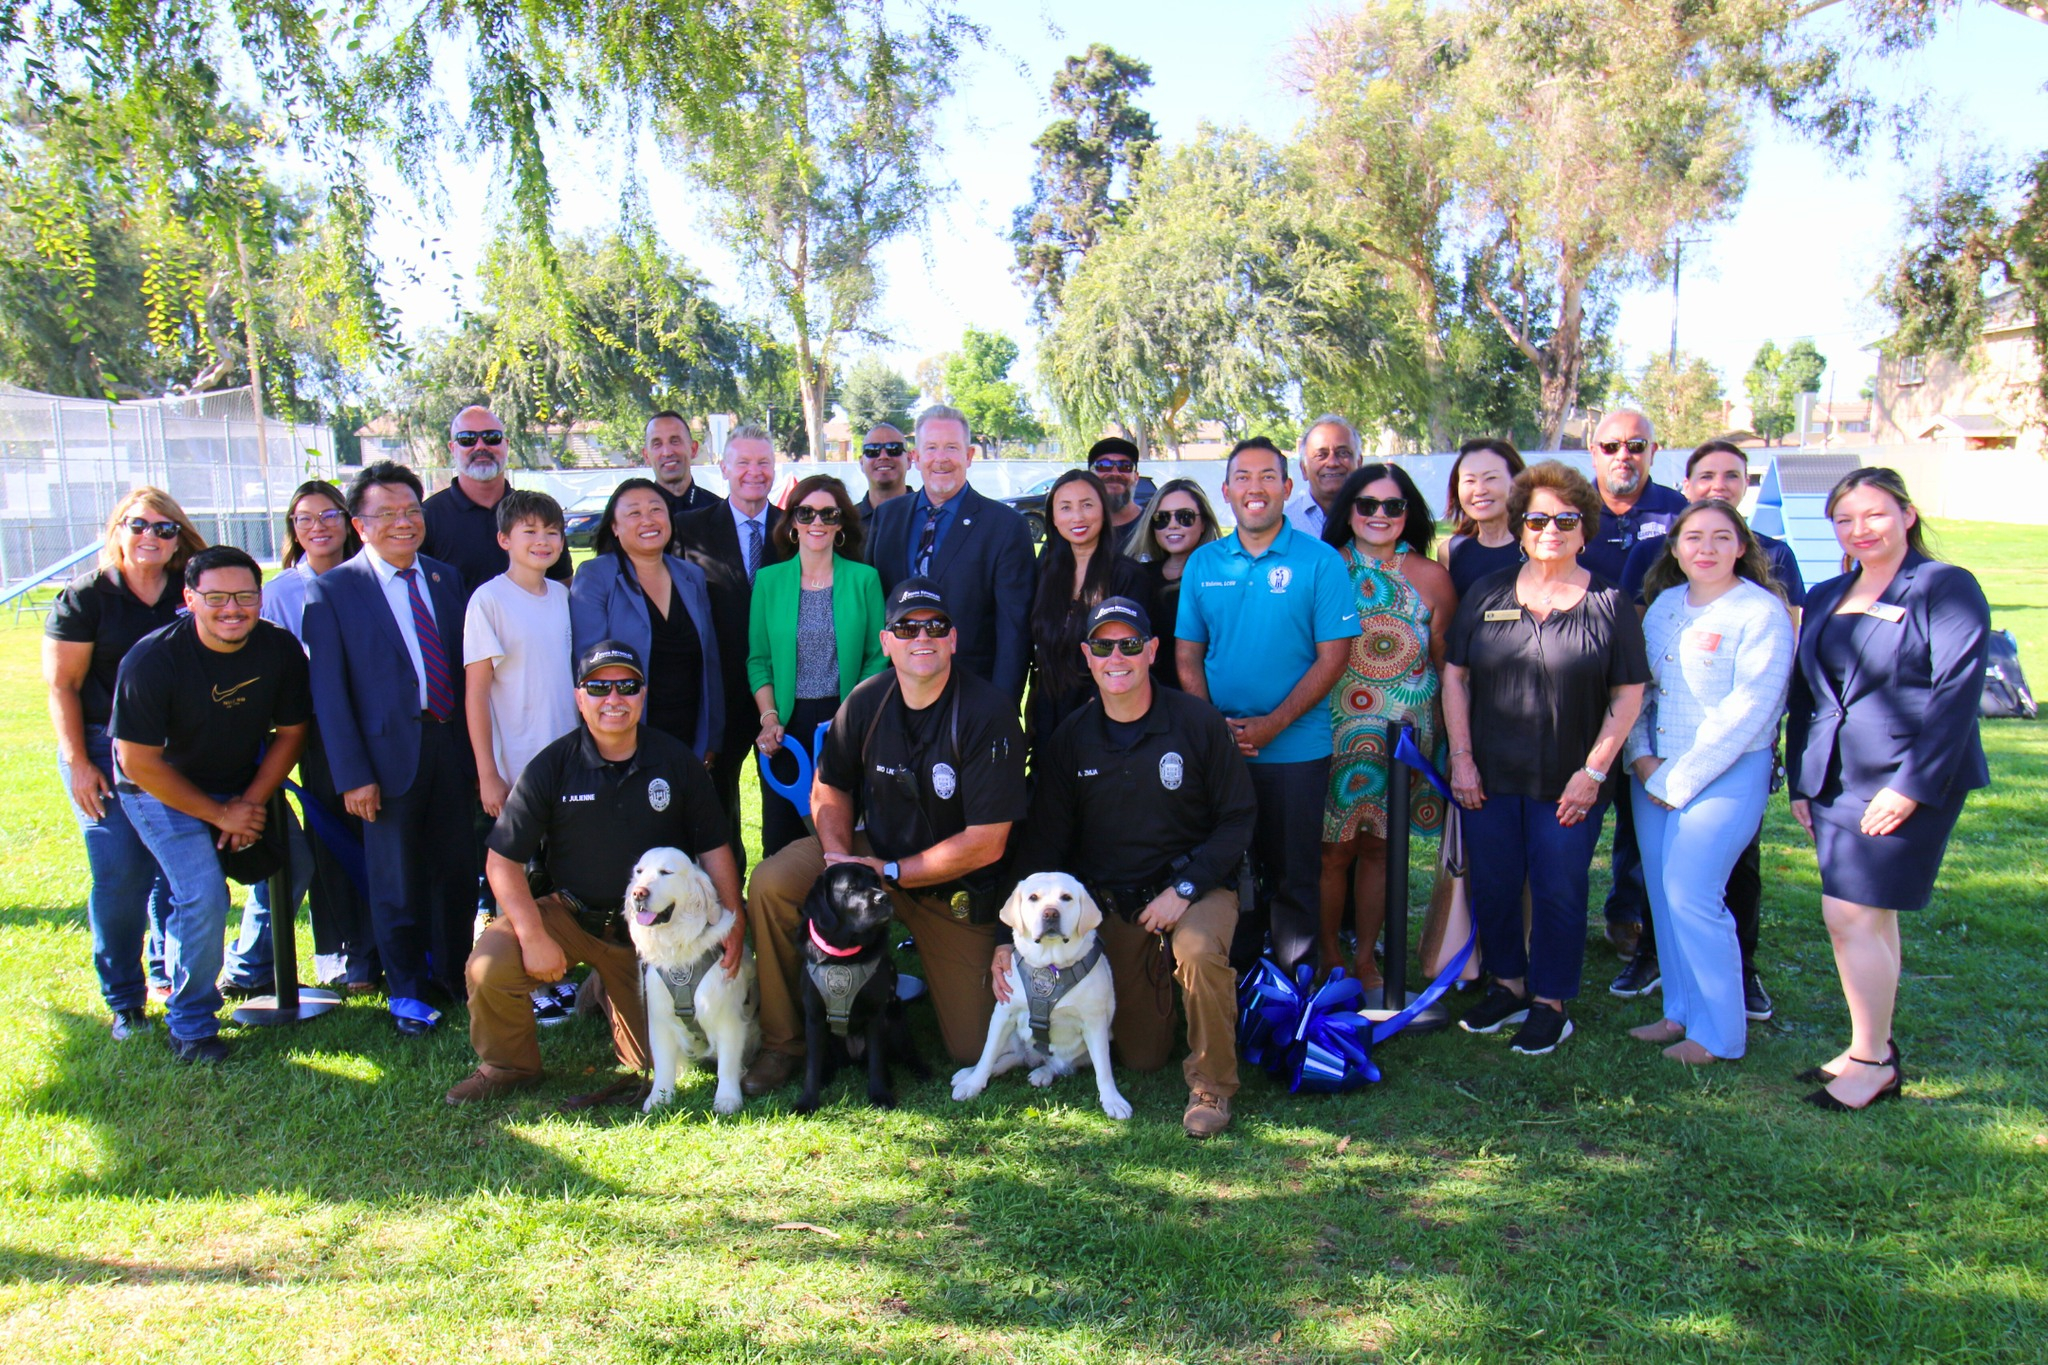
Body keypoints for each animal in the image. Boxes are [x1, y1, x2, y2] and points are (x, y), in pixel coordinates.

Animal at [622, 847, 761, 1113]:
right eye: (639, 871)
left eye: (666, 872)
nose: (638, 893)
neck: (677, 949)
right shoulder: (659, 1018)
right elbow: (663, 1064)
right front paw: (659, 1097)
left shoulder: (727, 1018)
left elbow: (727, 1064)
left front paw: (727, 1099)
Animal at [794, 871, 933, 1113]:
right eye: (851, 887)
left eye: (877, 881)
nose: (884, 898)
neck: (844, 956)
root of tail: (854, 1055)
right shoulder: (814, 1018)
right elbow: (812, 1065)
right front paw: (807, 1102)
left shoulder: (875, 1015)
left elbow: (876, 1060)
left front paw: (880, 1095)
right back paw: (826, 1075)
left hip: (896, 1022)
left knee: (904, 1054)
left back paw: (916, 1070)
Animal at [950, 875, 1130, 1121]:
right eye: (1033, 897)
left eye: (1066, 897)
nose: (1051, 913)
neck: (1050, 964)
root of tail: (1033, 1058)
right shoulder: (1003, 1014)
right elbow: (987, 1054)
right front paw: (973, 1085)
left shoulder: (1095, 1024)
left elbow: (1103, 1069)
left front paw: (1113, 1100)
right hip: (1011, 1037)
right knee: (1005, 1057)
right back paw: (969, 1073)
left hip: (1083, 1050)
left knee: (1059, 1065)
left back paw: (1042, 1073)